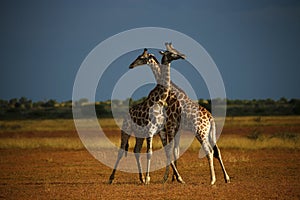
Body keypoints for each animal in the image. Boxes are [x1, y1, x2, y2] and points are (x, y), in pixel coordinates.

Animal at [108, 43, 185, 184]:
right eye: (170, 53)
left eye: (141, 57)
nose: (131, 65)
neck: (160, 100)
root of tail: (126, 115)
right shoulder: (150, 130)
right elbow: (149, 153)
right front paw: (149, 178)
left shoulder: (161, 131)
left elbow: (167, 151)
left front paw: (179, 178)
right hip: (126, 130)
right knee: (121, 151)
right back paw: (111, 178)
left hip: (139, 134)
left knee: (136, 150)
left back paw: (141, 178)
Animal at [127, 44, 231, 185]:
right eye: (171, 52)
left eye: (141, 57)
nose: (131, 65)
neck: (171, 93)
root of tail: (210, 117)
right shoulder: (175, 129)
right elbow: (174, 151)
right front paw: (173, 178)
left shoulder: (170, 127)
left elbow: (170, 150)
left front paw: (168, 178)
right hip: (210, 132)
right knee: (217, 151)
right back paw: (226, 178)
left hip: (200, 132)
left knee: (208, 151)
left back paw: (212, 179)